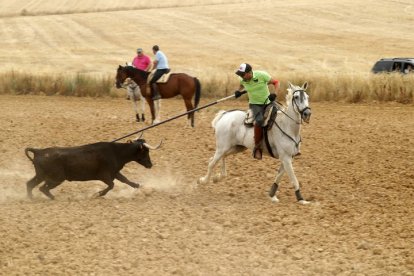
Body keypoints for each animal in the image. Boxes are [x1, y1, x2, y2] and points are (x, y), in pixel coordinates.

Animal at [24, 139, 160, 199]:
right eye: (145, 151)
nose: (150, 165)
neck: (116, 152)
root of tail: (39, 151)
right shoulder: (104, 175)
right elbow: (111, 185)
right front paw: (98, 194)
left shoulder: (115, 172)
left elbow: (125, 180)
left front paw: (138, 186)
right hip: (56, 178)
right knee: (43, 188)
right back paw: (53, 198)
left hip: (41, 176)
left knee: (30, 184)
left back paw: (32, 198)